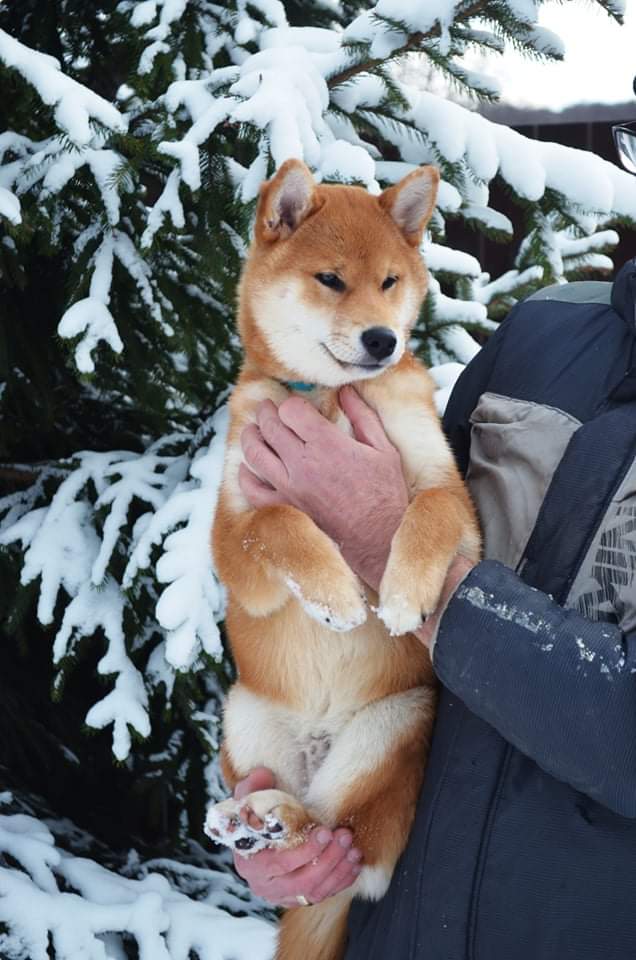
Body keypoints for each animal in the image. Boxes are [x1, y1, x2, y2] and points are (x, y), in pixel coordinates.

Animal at [206, 159, 480, 960]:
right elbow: (278, 520)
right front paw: (332, 590)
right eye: (330, 280)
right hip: (244, 713)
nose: (383, 340)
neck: (329, 399)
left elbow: (425, 512)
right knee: (313, 836)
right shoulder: (234, 540)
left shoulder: (453, 500)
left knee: (348, 842)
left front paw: (401, 593)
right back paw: (253, 816)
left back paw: (282, 821)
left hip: (395, 726)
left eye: (390, 282)